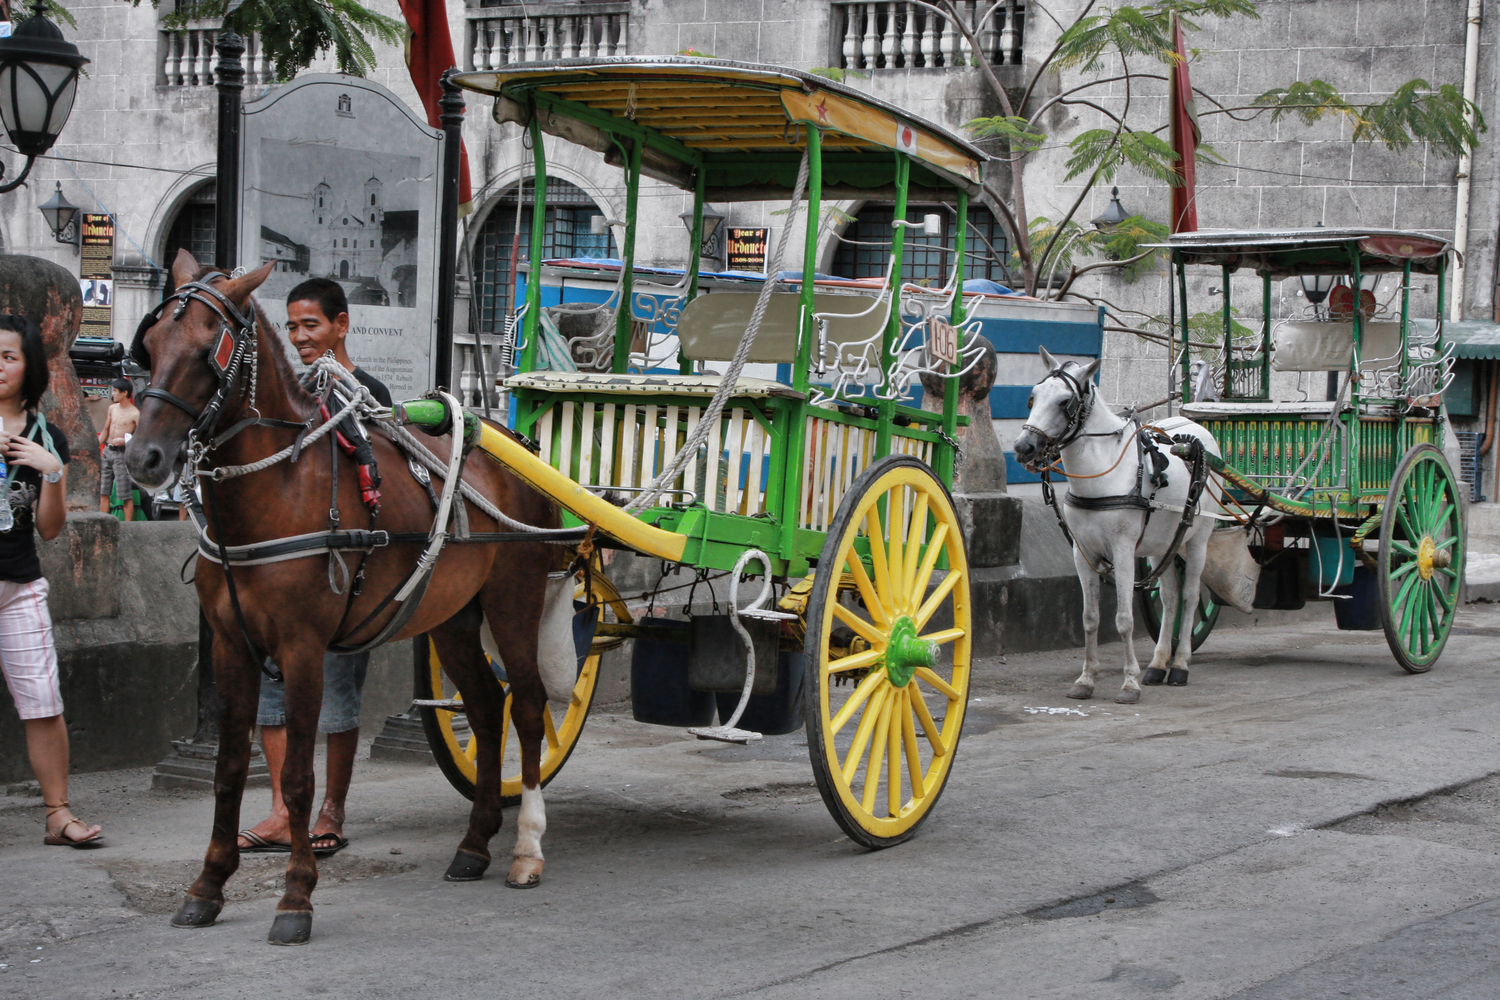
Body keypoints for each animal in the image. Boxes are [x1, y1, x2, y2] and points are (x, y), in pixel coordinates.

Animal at [124, 250, 564, 947]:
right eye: (150, 345)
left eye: (205, 351)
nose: (143, 457)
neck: (279, 485)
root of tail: (517, 449)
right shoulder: (232, 646)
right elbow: (228, 768)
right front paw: (209, 884)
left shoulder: (304, 648)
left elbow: (301, 777)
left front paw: (296, 897)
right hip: (452, 616)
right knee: (486, 705)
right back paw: (475, 844)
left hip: (513, 599)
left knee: (525, 706)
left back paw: (526, 848)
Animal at [1014, 350, 1224, 704]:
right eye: (1033, 396)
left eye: (1065, 402)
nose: (1024, 447)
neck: (1101, 473)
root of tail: (1197, 429)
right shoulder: (1082, 553)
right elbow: (1089, 619)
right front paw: (1086, 679)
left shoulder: (1123, 550)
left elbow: (1124, 619)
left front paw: (1129, 683)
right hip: (1162, 545)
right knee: (1170, 596)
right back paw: (1158, 664)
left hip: (1198, 540)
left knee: (1191, 596)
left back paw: (1180, 665)